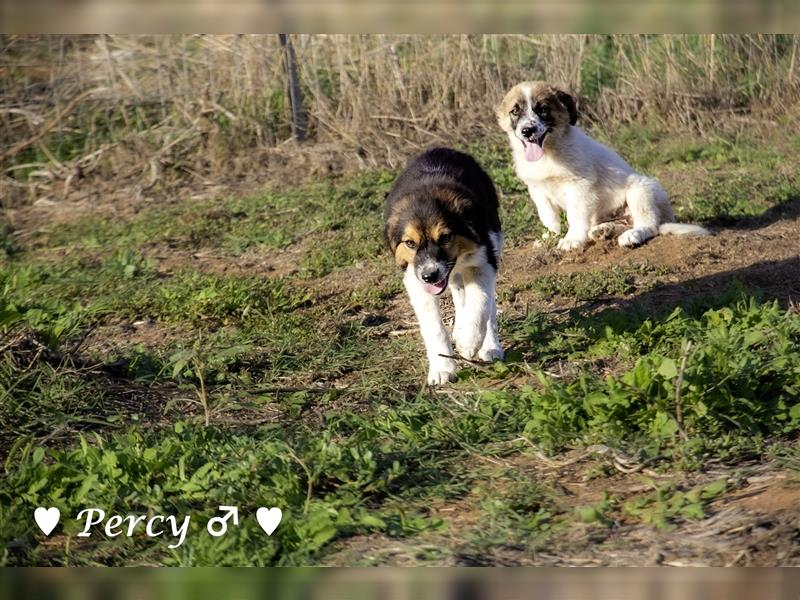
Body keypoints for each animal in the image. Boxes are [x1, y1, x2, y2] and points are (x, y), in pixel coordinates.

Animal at [384, 148, 504, 386]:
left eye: (446, 237)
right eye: (410, 243)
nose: (430, 276)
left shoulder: (484, 262)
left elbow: (480, 305)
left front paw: (469, 343)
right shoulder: (415, 280)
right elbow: (434, 328)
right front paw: (442, 369)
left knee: (488, 307)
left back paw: (489, 346)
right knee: (459, 293)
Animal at [496, 81, 708, 250]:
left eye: (543, 109)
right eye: (515, 111)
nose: (527, 131)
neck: (549, 153)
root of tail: (668, 218)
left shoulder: (579, 187)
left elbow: (575, 215)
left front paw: (572, 239)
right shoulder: (537, 188)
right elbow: (546, 213)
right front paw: (550, 234)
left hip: (641, 189)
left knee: (649, 225)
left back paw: (632, 235)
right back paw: (604, 230)